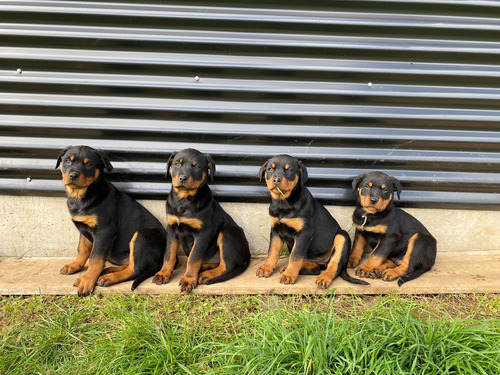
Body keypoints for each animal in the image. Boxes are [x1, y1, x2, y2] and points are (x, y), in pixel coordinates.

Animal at [56, 146, 166, 296]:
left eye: (89, 164)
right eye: (67, 161)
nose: (73, 175)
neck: (82, 196)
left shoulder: (104, 231)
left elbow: (95, 258)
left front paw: (86, 281)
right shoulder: (84, 229)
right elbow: (82, 249)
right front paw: (74, 266)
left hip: (142, 235)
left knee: (135, 269)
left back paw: (109, 278)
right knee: (130, 264)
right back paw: (108, 270)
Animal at [149, 148, 249, 296]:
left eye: (197, 166)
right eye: (177, 164)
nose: (183, 178)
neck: (183, 200)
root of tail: (247, 255)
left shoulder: (202, 233)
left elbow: (193, 257)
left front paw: (188, 279)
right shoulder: (171, 229)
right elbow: (169, 254)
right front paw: (163, 273)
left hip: (228, 232)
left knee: (227, 265)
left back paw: (207, 274)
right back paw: (204, 268)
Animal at [258, 154, 368, 290]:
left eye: (289, 170)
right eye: (270, 169)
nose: (276, 180)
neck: (283, 203)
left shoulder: (304, 232)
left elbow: (295, 255)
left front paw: (289, 275)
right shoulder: (276, 230)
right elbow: (272, 251)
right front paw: (266, 268)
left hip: (342, 236)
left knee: (334, 265)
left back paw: (323, 278)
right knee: (315, 268)